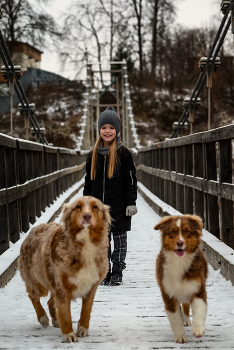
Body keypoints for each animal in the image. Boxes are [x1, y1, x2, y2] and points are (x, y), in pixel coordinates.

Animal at [17, 196, 111, 344]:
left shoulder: (91, 286)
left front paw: (82, 329)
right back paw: (43, 317)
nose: (87, 216)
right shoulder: (62, 287)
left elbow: (86, 311)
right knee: (33, 296)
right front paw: (68, 335)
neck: (85, 243)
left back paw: (56, 320)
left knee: (50, 301)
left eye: (95, 207)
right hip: (39, 282)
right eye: (78, 207)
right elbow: (66, 314)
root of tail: (32, 230)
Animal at [154, 215, 207, 344]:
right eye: (172, 232)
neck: (180, 262)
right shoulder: (168, 293)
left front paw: (198, 329)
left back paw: (187, 320)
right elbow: (175, 318)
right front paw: (180, 336)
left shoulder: (197, 288)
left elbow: (198, 308)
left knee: (186, 307)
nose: (180, 242)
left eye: (187, 231)